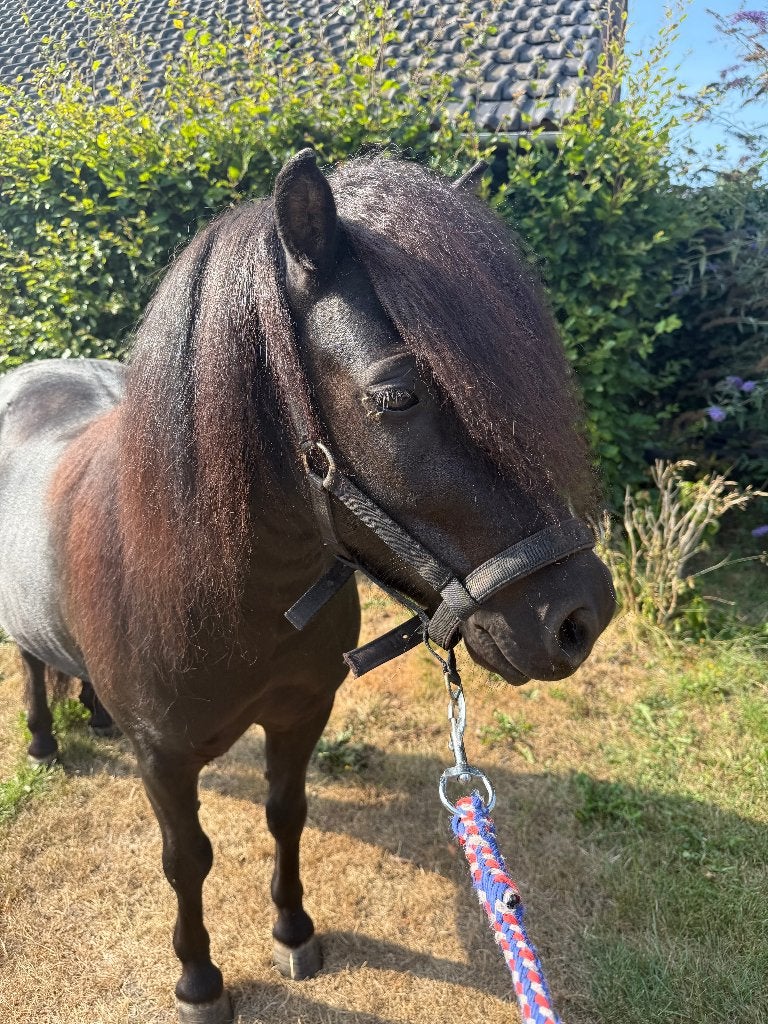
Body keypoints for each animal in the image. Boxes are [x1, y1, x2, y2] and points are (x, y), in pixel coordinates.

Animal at [0, 150, 614, 1023]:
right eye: (396, 397)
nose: (580, 615)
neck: (231, 595)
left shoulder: (300, 714)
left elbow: (285, 816)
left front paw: (294, 931)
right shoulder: (164, 759)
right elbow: (187, 859)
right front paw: (200, 981)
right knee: (27, 660)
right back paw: (45, 742)